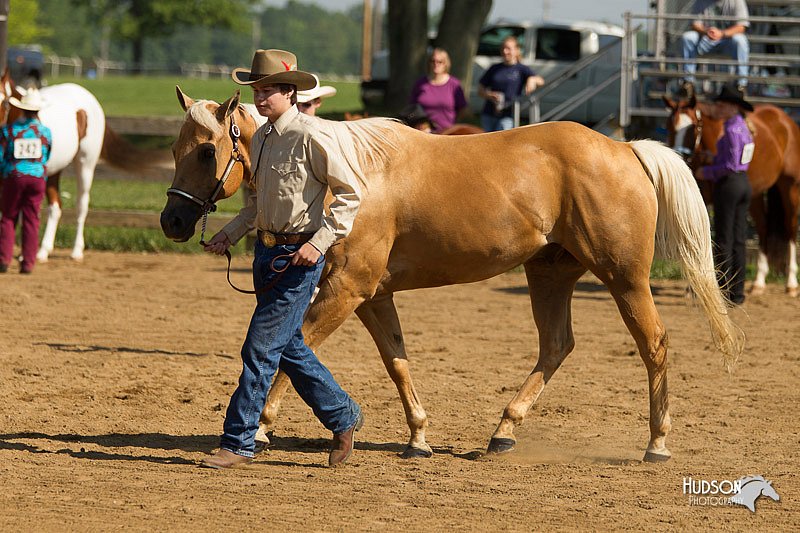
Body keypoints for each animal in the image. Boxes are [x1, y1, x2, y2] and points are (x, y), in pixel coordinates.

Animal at [162, 87, 744, 462]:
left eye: (208, 150)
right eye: (174, 148)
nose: (173, 221)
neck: (347, 177)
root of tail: (625, 149)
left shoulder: (347, 289)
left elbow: (290, 348)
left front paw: (260, 427)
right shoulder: (371, 296)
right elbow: (396, 361)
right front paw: (418, 437)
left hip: (624, 278)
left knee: (654, 345)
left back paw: (657, 443)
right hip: (549, 273)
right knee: (557, 345)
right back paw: (503, 432)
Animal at [664, 95, 800, 296]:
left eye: (693, 126)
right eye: (669, 126)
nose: (679, 158)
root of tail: (786, 120)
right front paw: (694, 288)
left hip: (789, 187)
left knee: (790, 229)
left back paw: (791, 283)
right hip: (755, 196)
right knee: (763, 228)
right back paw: (759, 282)